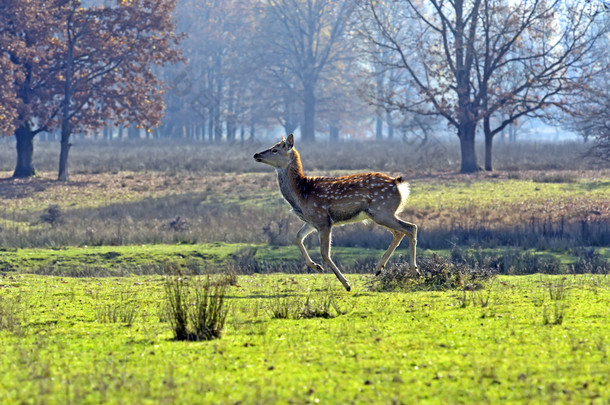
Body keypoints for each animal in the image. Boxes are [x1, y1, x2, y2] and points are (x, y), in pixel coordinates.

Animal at [253, 135, 418, 290]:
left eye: (275, 149)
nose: (256, 154)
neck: (301, 194)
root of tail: (397, 184)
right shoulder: (311, 221)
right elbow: (298, 237)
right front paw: (315, 266)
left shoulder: (323, 220)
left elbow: (325, 253)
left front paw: (346, 284)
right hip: (380, 214)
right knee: (400, 232)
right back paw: (379, 269)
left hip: (382, 211)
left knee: (410, 227)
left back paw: (414, 270)